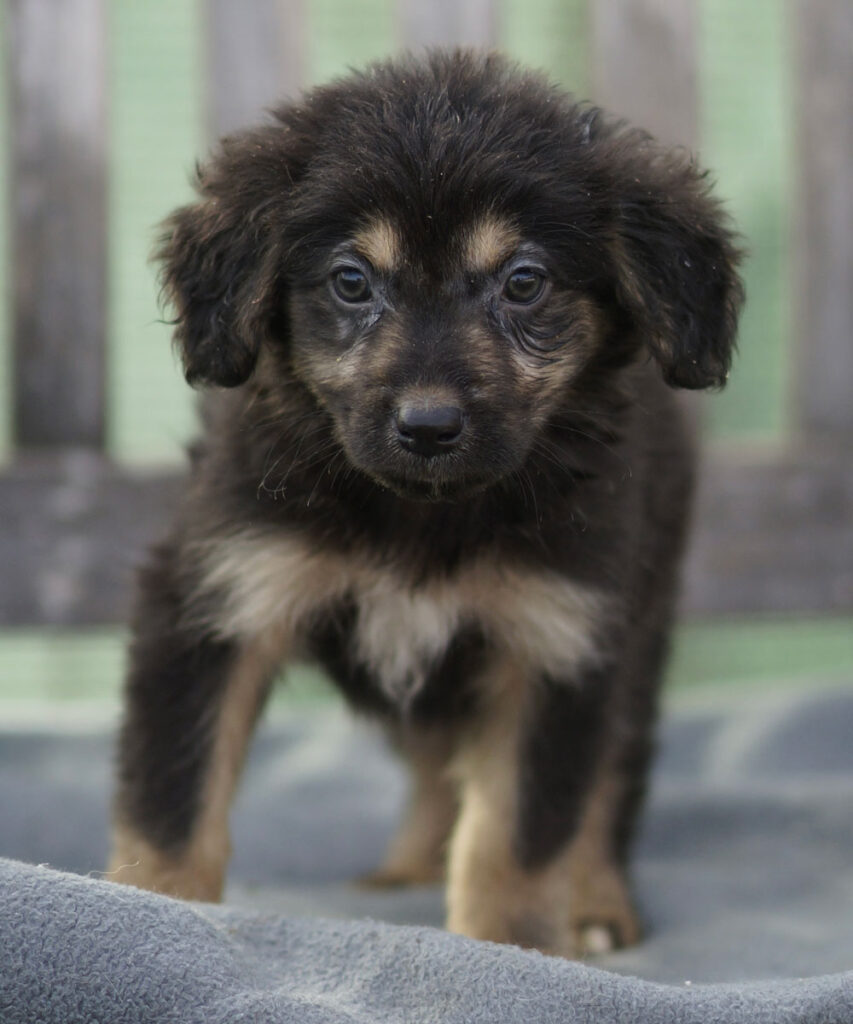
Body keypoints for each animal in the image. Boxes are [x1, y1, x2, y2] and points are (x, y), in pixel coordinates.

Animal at [109, 50, 743, 958]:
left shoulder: (555, 639)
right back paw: (409, 864)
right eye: (350, 280)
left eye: (523, 283)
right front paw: (158, 909)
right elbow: (173, 797)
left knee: (607, 776)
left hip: (637, 628)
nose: (428, 426)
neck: (421, 513)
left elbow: (515, 842)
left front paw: (510, 952)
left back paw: (594, 903)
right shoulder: (214, 597)